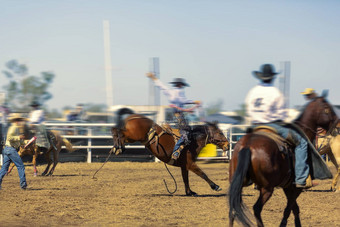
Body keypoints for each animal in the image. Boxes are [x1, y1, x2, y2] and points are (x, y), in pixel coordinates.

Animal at [228, 96, 338, 227]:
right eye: (328, 109)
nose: (338, 124)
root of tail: (248, 146)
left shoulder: (287, 186)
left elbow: (294, 208)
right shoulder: (295, 187)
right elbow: (289, 209)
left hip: (238, 183)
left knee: (232, 210)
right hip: (267, 189)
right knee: (256, 208)